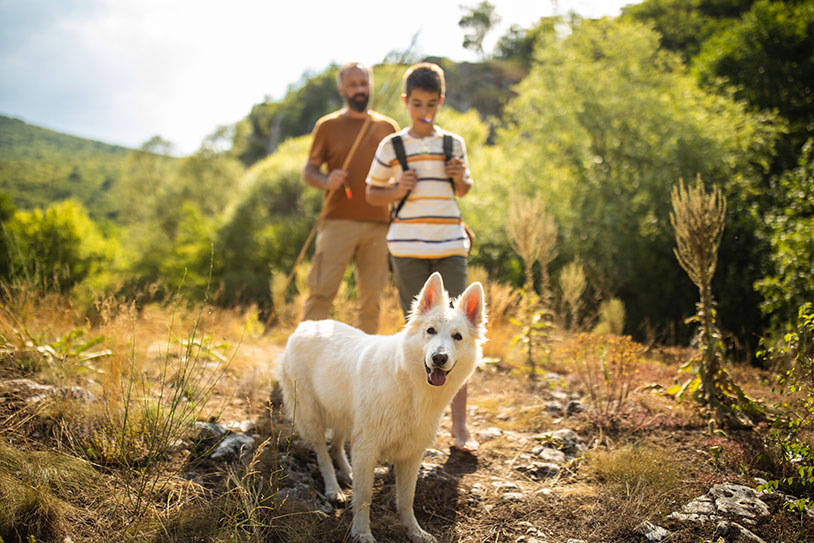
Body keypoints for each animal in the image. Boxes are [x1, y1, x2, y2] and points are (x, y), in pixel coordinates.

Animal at [278, 274, 488, 543]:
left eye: (457, 337)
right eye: (430, 331)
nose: (439, 358)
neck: (410, 384)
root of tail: (306, 325)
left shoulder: (411, 454)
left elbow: (406, 499)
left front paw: (415, 532)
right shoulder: (367, 447)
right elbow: (364, 497)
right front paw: (361, 532)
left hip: (345, 416)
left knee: (336, 445)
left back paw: (348, 473)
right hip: (312, 415)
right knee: (323, 453)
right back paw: (334, 488)